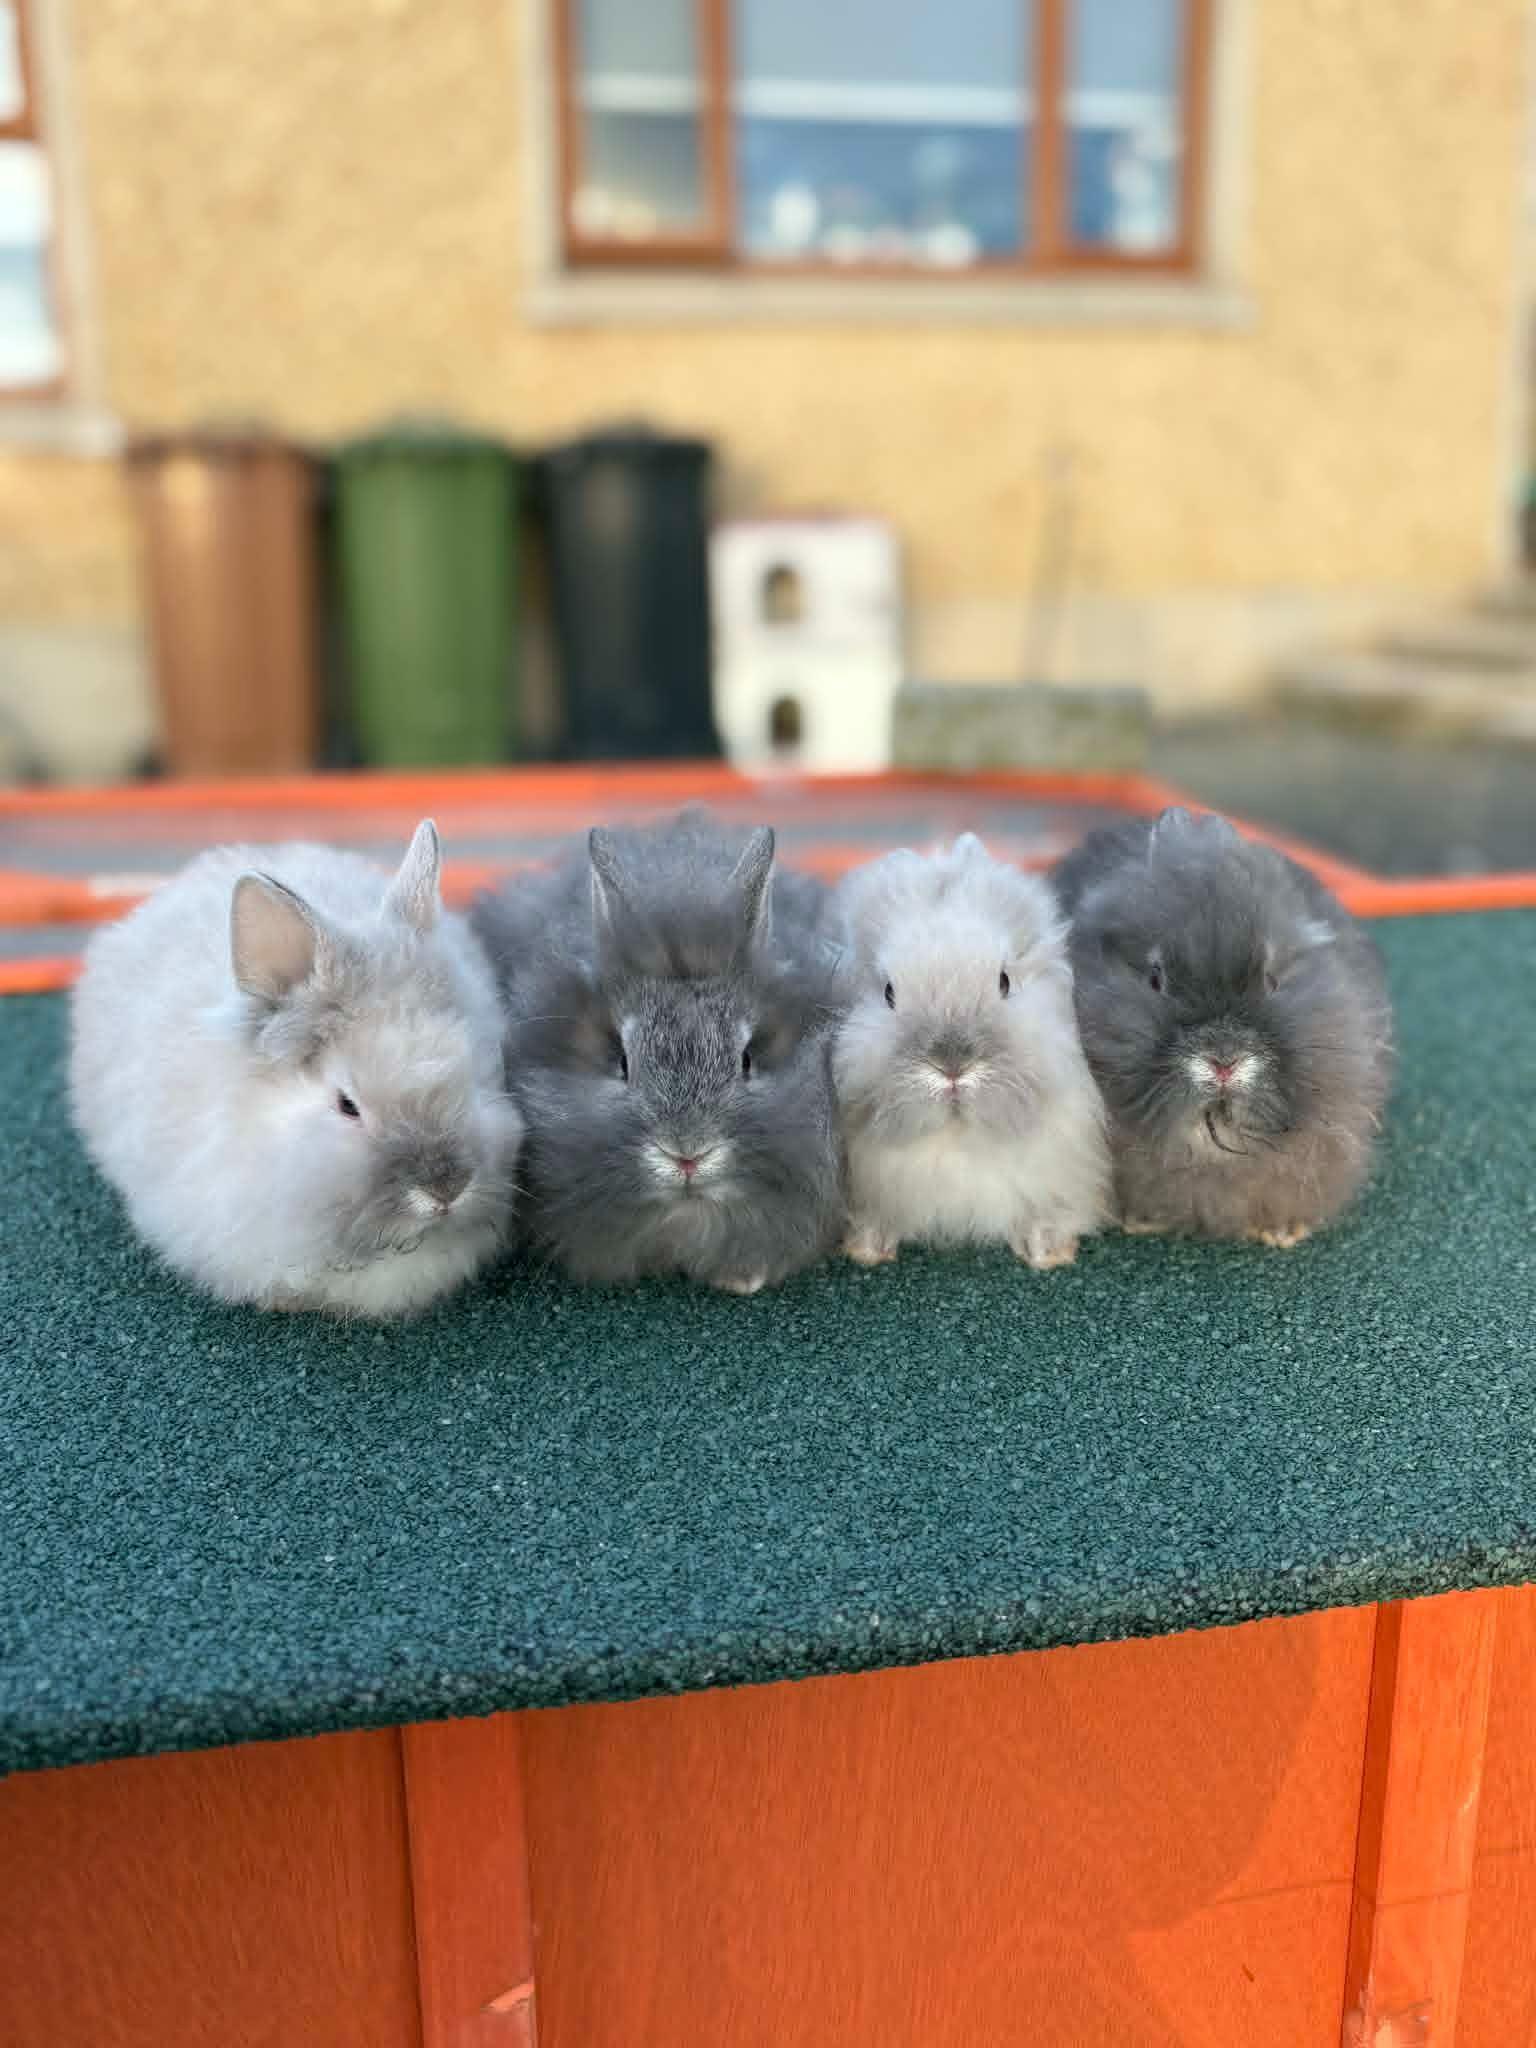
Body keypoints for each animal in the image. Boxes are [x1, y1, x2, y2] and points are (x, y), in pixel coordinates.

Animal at [831, 835, 1111, 1270]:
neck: (957, 1139)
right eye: (888, 992)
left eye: (1004, 981)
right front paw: (868, 1250)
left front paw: (1047, 1253)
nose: (952, 1064)